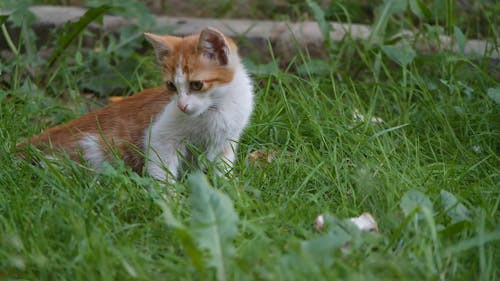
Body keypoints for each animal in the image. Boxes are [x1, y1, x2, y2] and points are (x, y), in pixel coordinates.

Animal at [27, 27, 254, 182]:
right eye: (171, 85)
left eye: (196, 84)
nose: (181, 106)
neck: (218, 107)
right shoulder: (160, 137)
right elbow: (162, 169)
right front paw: (169, 199)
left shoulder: (228, 141)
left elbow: (223, 168)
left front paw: (227, 186)